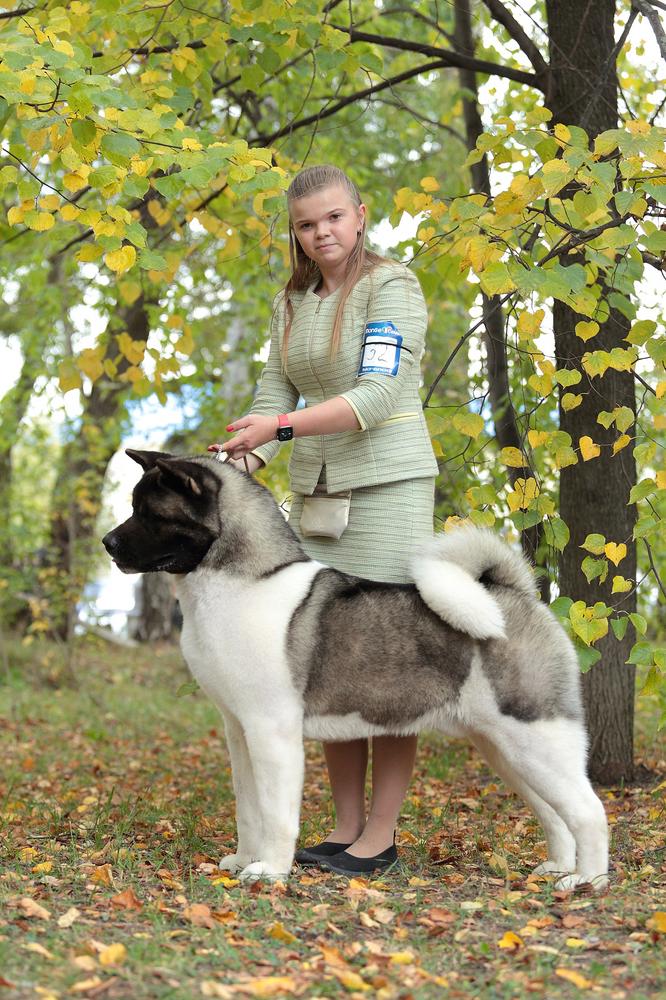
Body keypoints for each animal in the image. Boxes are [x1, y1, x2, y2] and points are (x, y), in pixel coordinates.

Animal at [102, 454, 608, 892]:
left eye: (149, 513)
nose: (107, 543)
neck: (245, 581)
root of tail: (516, 595)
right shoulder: (239, 732)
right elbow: (249, 808)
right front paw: (246, 859)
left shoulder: (271, 732)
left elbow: (276, 812)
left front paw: (270, 871)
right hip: (506, 749)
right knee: (554, 812)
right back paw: (558, 866)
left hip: (536, 737)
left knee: (589, 811)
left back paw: (587, 881)